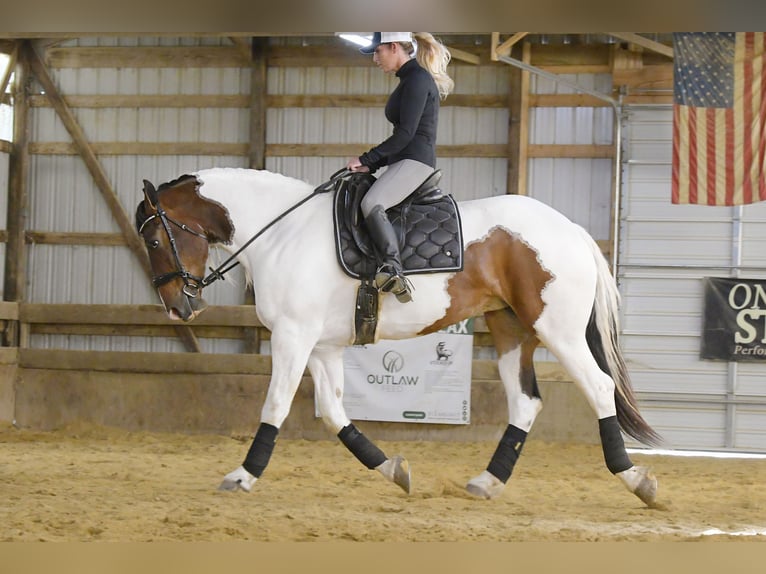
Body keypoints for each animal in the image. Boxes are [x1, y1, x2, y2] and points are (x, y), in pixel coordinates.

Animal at [135, 166, 664, 508]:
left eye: (156, 240)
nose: (178, 308)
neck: (282, 232)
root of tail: (572, 230)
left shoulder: (292, 336)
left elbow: (276, 406)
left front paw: (243, 475)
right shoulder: (322, 346)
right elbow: (334, 413)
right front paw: (393, 471)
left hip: (557, 330)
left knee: (598, 388)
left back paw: (637, 480)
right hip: (511, 330)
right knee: (525, 403)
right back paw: (487, 482)